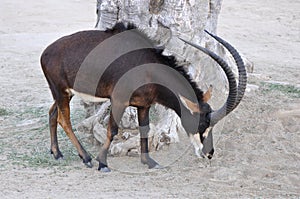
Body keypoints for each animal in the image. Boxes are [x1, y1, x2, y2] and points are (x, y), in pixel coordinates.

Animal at [40, 22, 246, 171]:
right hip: (61, 91)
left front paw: (150, 162)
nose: (209, 153)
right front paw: (103, 163)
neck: (148, 67)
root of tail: (46, 53)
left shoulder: (144, 104)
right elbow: (112, 130)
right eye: (203, 124)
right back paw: (86, 158)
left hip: (64, 93)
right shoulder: (119, 100)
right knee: (64, 119)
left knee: (52, 113)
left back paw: (57, 153)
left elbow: (145, 129)